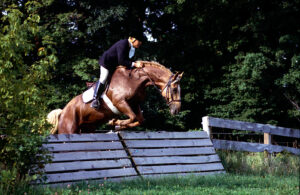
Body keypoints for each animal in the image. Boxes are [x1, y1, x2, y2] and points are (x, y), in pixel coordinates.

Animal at [47, 61, 183, 134]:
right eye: (174, 89)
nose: (176, 110)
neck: (134, 80)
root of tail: (62, 112)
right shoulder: (120, 103)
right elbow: (133, 117)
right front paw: (115, 122)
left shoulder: (134, 104)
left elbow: (140, 120)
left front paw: (117, 125)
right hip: (68, 128)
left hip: (87, 128)